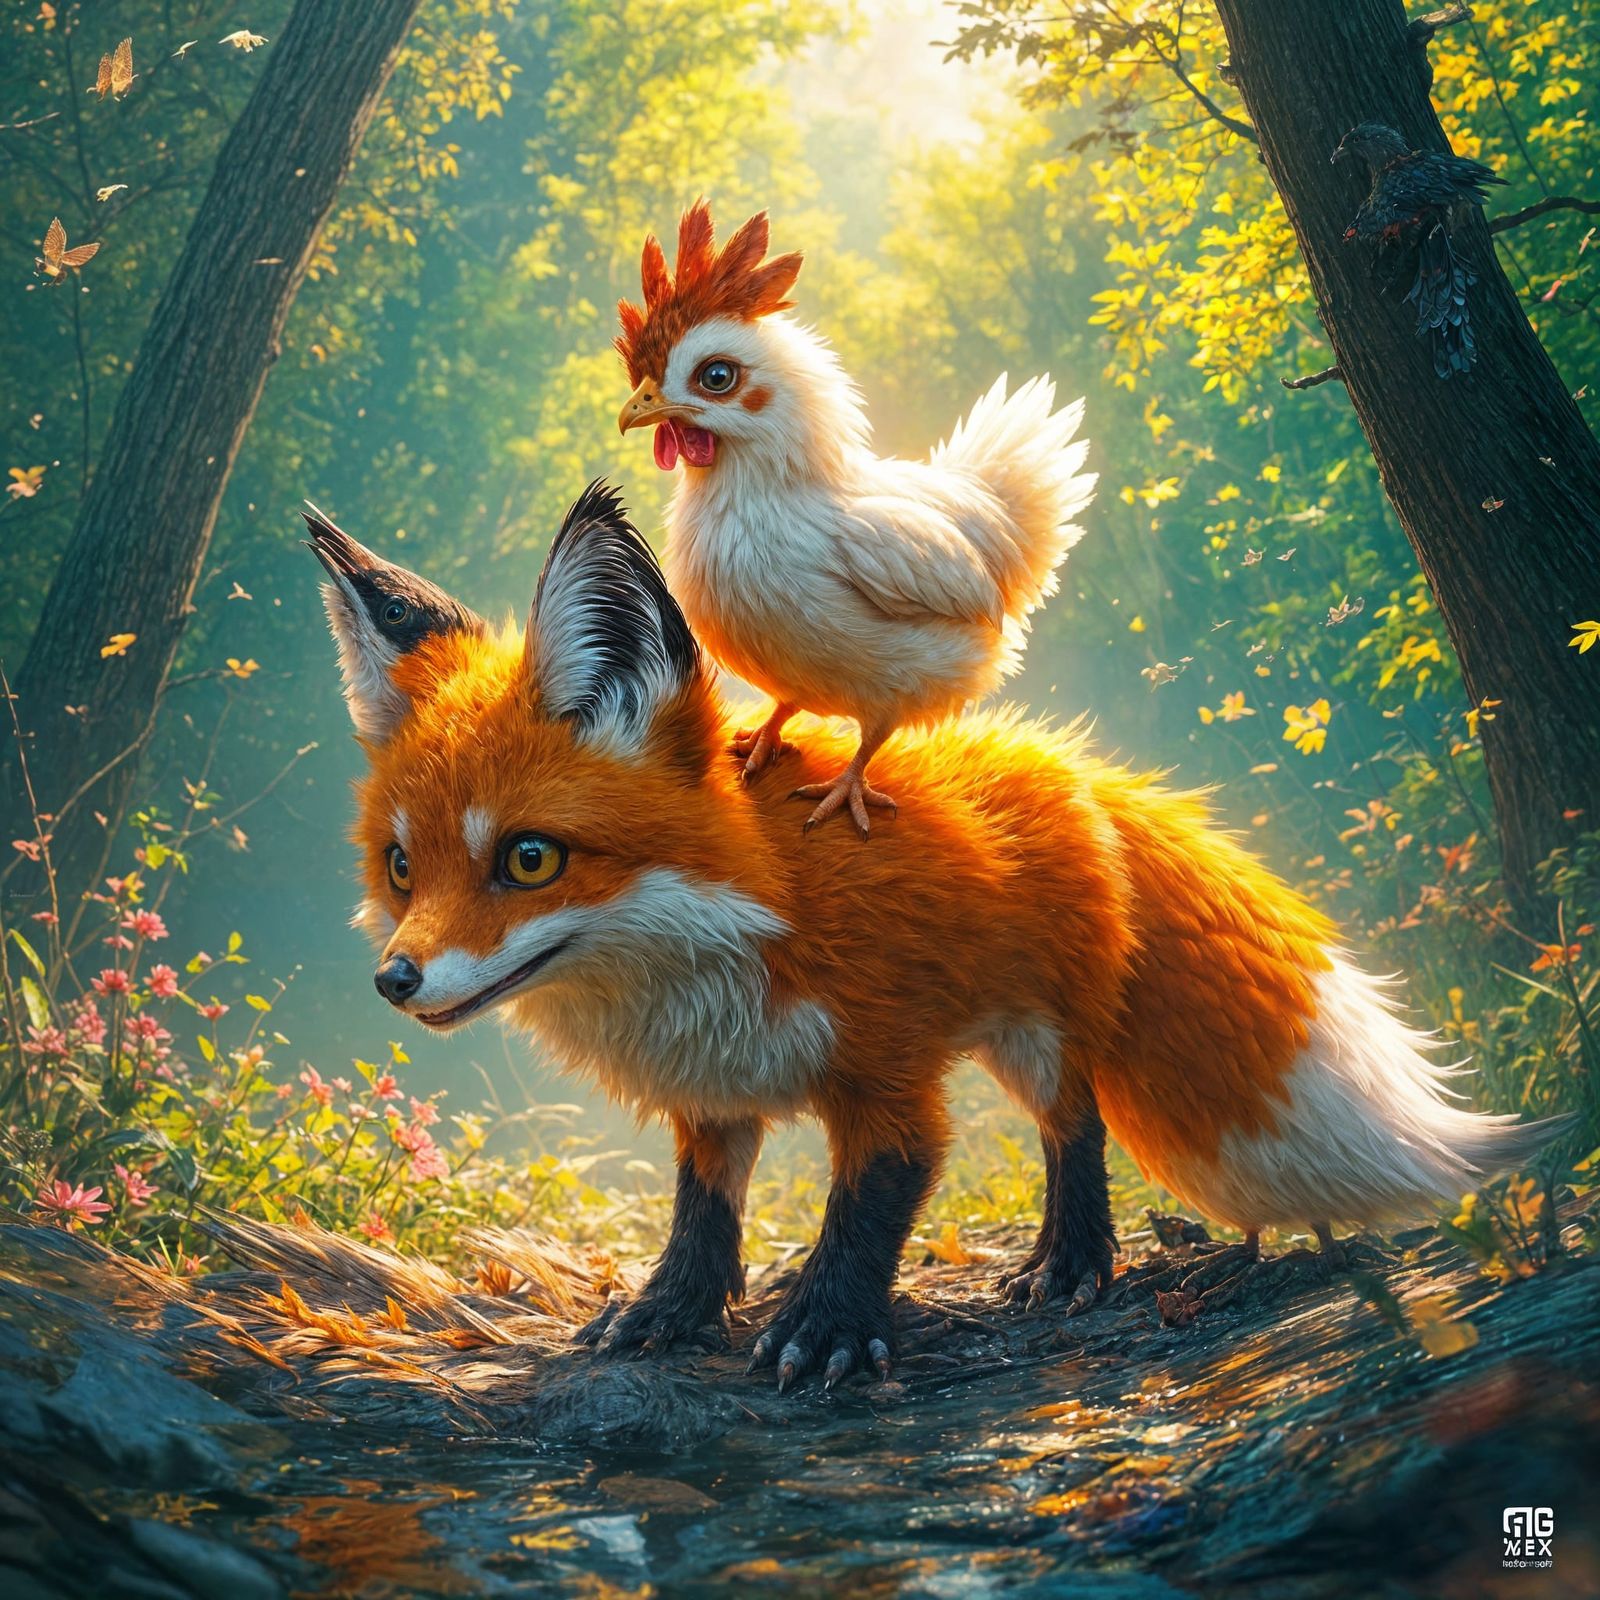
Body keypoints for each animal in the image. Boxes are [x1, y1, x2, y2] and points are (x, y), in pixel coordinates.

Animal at [308, 481, 1539, 1391]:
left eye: (528, 859)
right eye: (404, 866)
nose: (395, 980)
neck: (728, 936)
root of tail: (1062, 759)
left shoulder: (889, 1069)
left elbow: (876, 1200)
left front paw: (828, 1329)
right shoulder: (713, 1091)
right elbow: (703, 1212)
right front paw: (667, 1311)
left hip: (1035, 1037)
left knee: (1075, 1126)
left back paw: (1069, 1262)